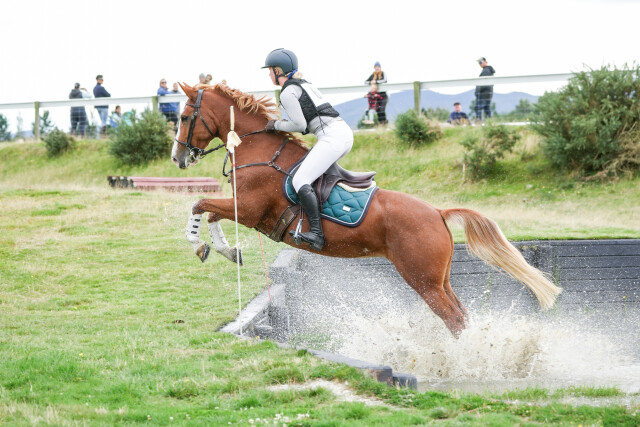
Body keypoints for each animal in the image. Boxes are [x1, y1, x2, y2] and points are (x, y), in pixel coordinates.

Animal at [171, 82, 562, 336]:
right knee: (461, 313)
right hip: (440, 278)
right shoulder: (243, 210)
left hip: (423, 280)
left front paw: (198, 244)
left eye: (186, 116)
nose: (177, 158)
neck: (258, 150)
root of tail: (438, 213)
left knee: (453, 318)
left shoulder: (251, 210)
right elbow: (211, 213)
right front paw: (225, 250)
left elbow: (199, 204)